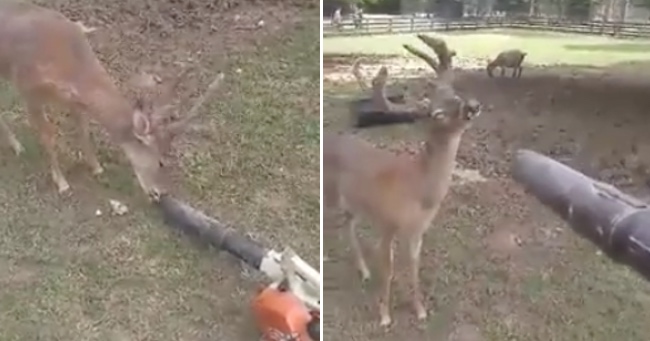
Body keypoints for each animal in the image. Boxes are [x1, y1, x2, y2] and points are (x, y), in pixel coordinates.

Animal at [0, 1, 225, 199]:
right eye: (160, 162)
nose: (160, 193)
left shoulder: (74, 101)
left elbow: (83, 129)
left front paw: (96, 167)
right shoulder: (27, 88)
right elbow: (48, 136)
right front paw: (62, 183)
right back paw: (17, 146)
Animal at [324, 35, 480, 326]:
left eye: (456, 95)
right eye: (437, 114)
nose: (473, 106)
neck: (419, 191)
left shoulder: (418, 230)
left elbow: (414, 268)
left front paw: (419, 310)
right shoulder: (388, 223)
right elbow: (389, 269)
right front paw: (385, 315)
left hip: (355, 203)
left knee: (348, 224)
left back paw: (364, 271)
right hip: (332, 194)